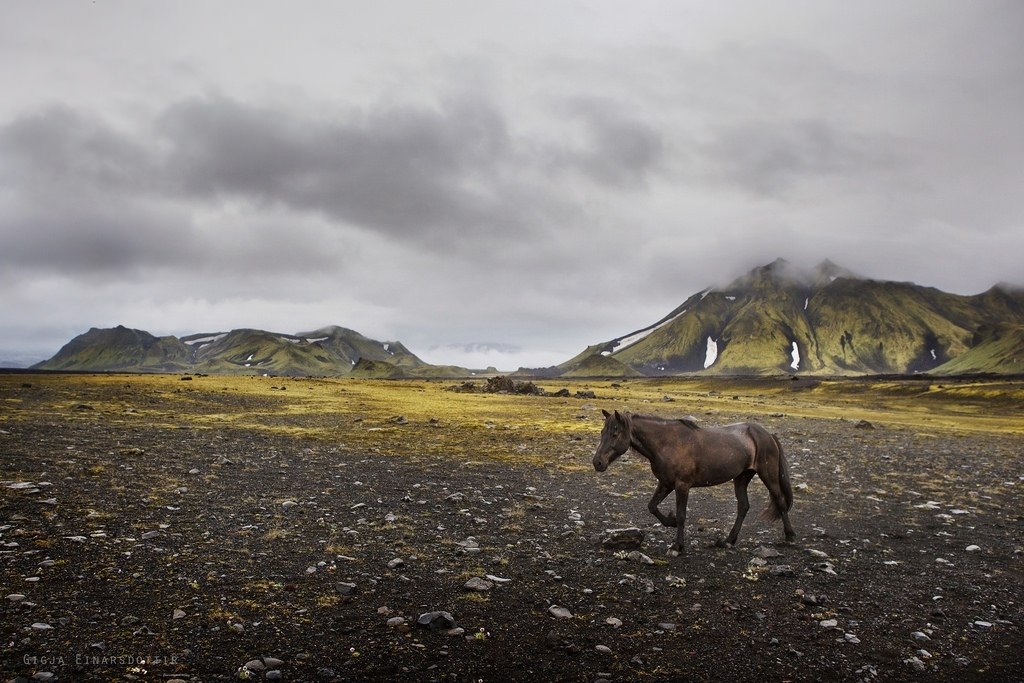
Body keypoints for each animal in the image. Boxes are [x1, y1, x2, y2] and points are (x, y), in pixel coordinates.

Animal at [593, 411, 790, 557]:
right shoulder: (666, 483)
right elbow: (652, 506)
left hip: (768, 475)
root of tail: (767, 434)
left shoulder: (682, 485)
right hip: (741, 478)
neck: (666, 444)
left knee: (780, 501)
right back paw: (728, 541)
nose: (597, 463)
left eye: (615, 433)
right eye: (602, 432)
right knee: (743, 506)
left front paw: (677, 546)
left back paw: (790, 536)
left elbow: (681, 515)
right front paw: (671, 521)